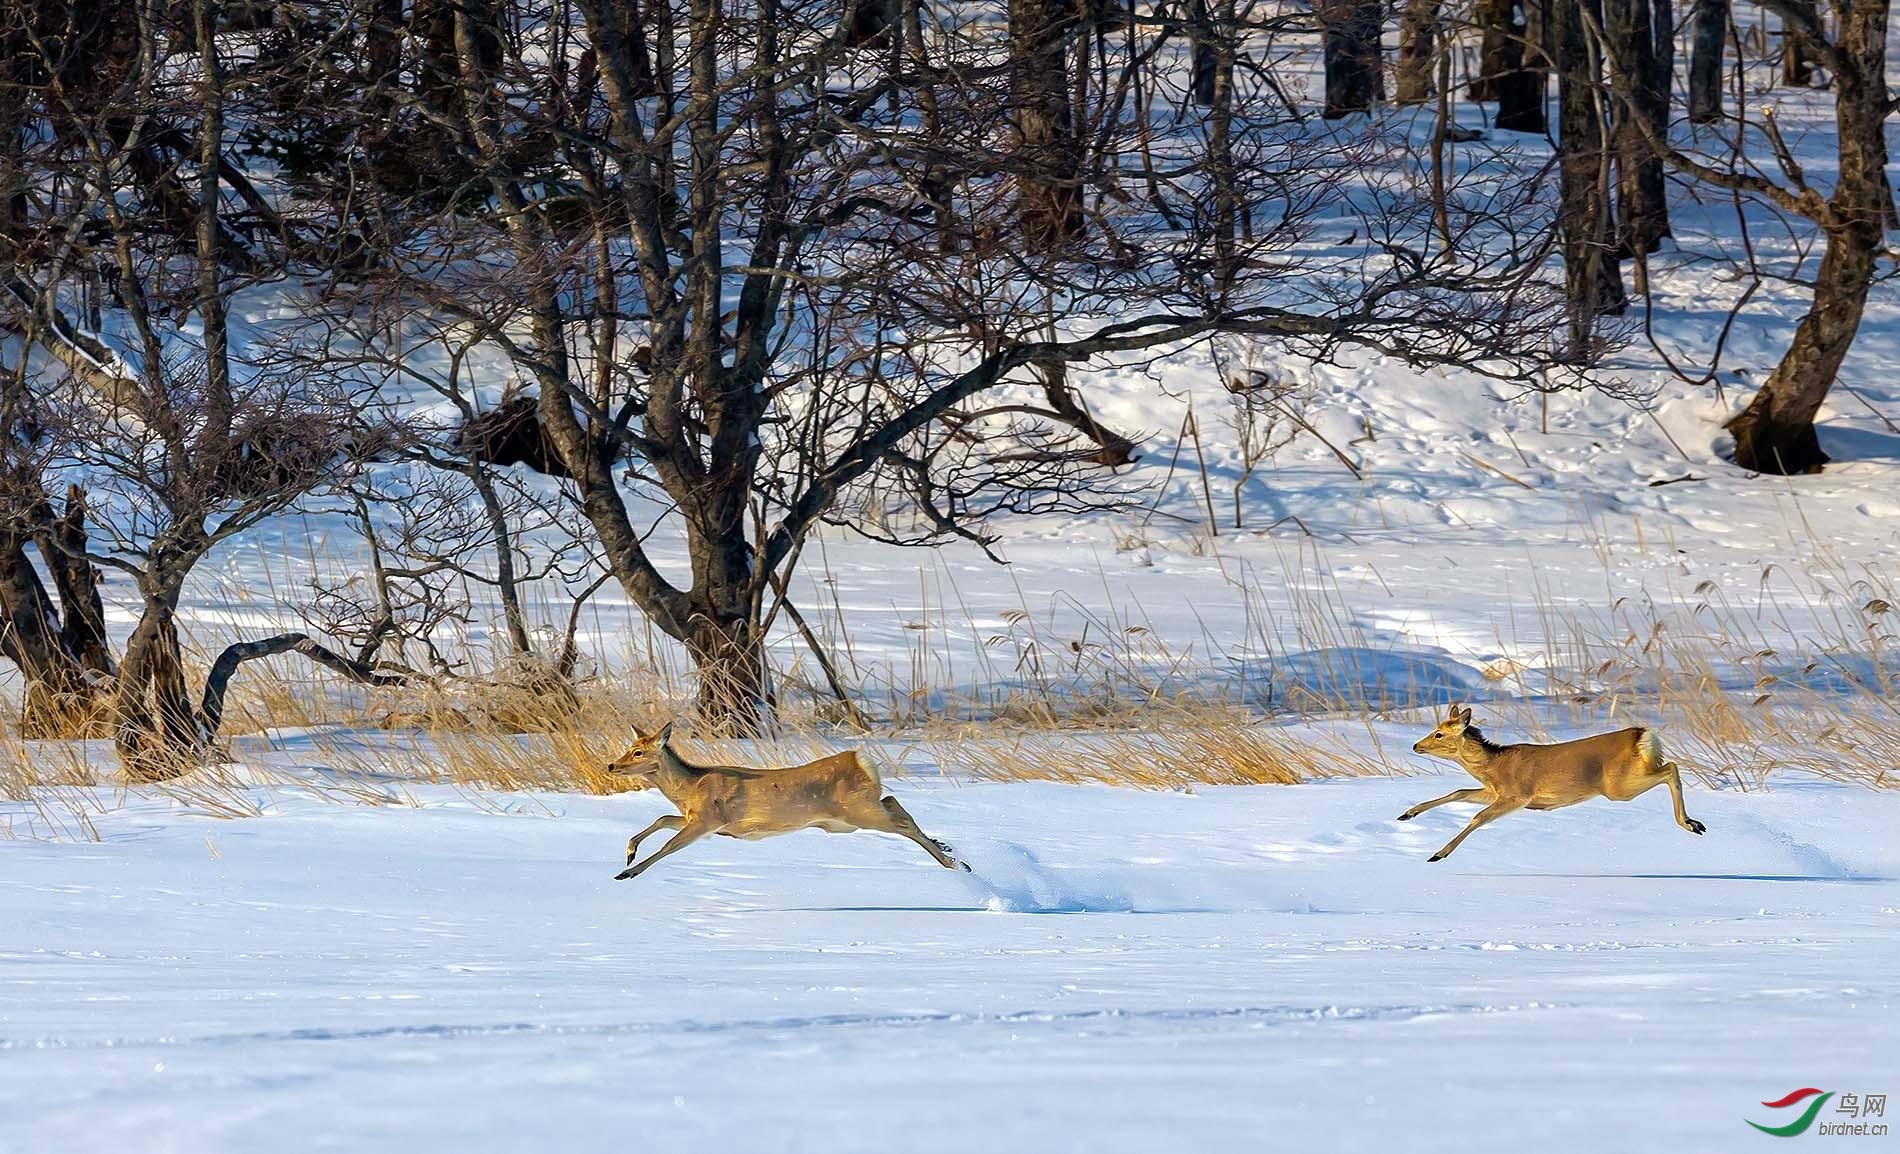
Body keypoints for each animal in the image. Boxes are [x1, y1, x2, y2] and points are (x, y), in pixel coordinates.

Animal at [604, 726, 972, 882]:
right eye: (629, 746)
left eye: (638, 751)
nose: (611, 766)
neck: (692, 786)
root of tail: (860, 760)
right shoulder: (704, 821)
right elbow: (663, 818)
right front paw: (629, 851)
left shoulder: (709, 818)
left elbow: (668, 844)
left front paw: (627, 871)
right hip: (856, 814)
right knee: (895, 802)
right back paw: (950, 854)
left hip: (858, 811)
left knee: (901, 818)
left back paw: (956, 864)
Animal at [1398, 707, 1710, 863]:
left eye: (1439, 734)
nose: (1415, 745)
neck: (1494, 767)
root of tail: (1642, 734)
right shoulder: (1495, 791)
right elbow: (1459, 791)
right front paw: (1407, 813)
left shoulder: (1517, 794)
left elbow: (1478, 817)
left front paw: (1438, 854)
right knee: (1670, 767)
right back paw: (1695, 823)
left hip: (1618, 786)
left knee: (1671, 768)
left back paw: (1689, 823)